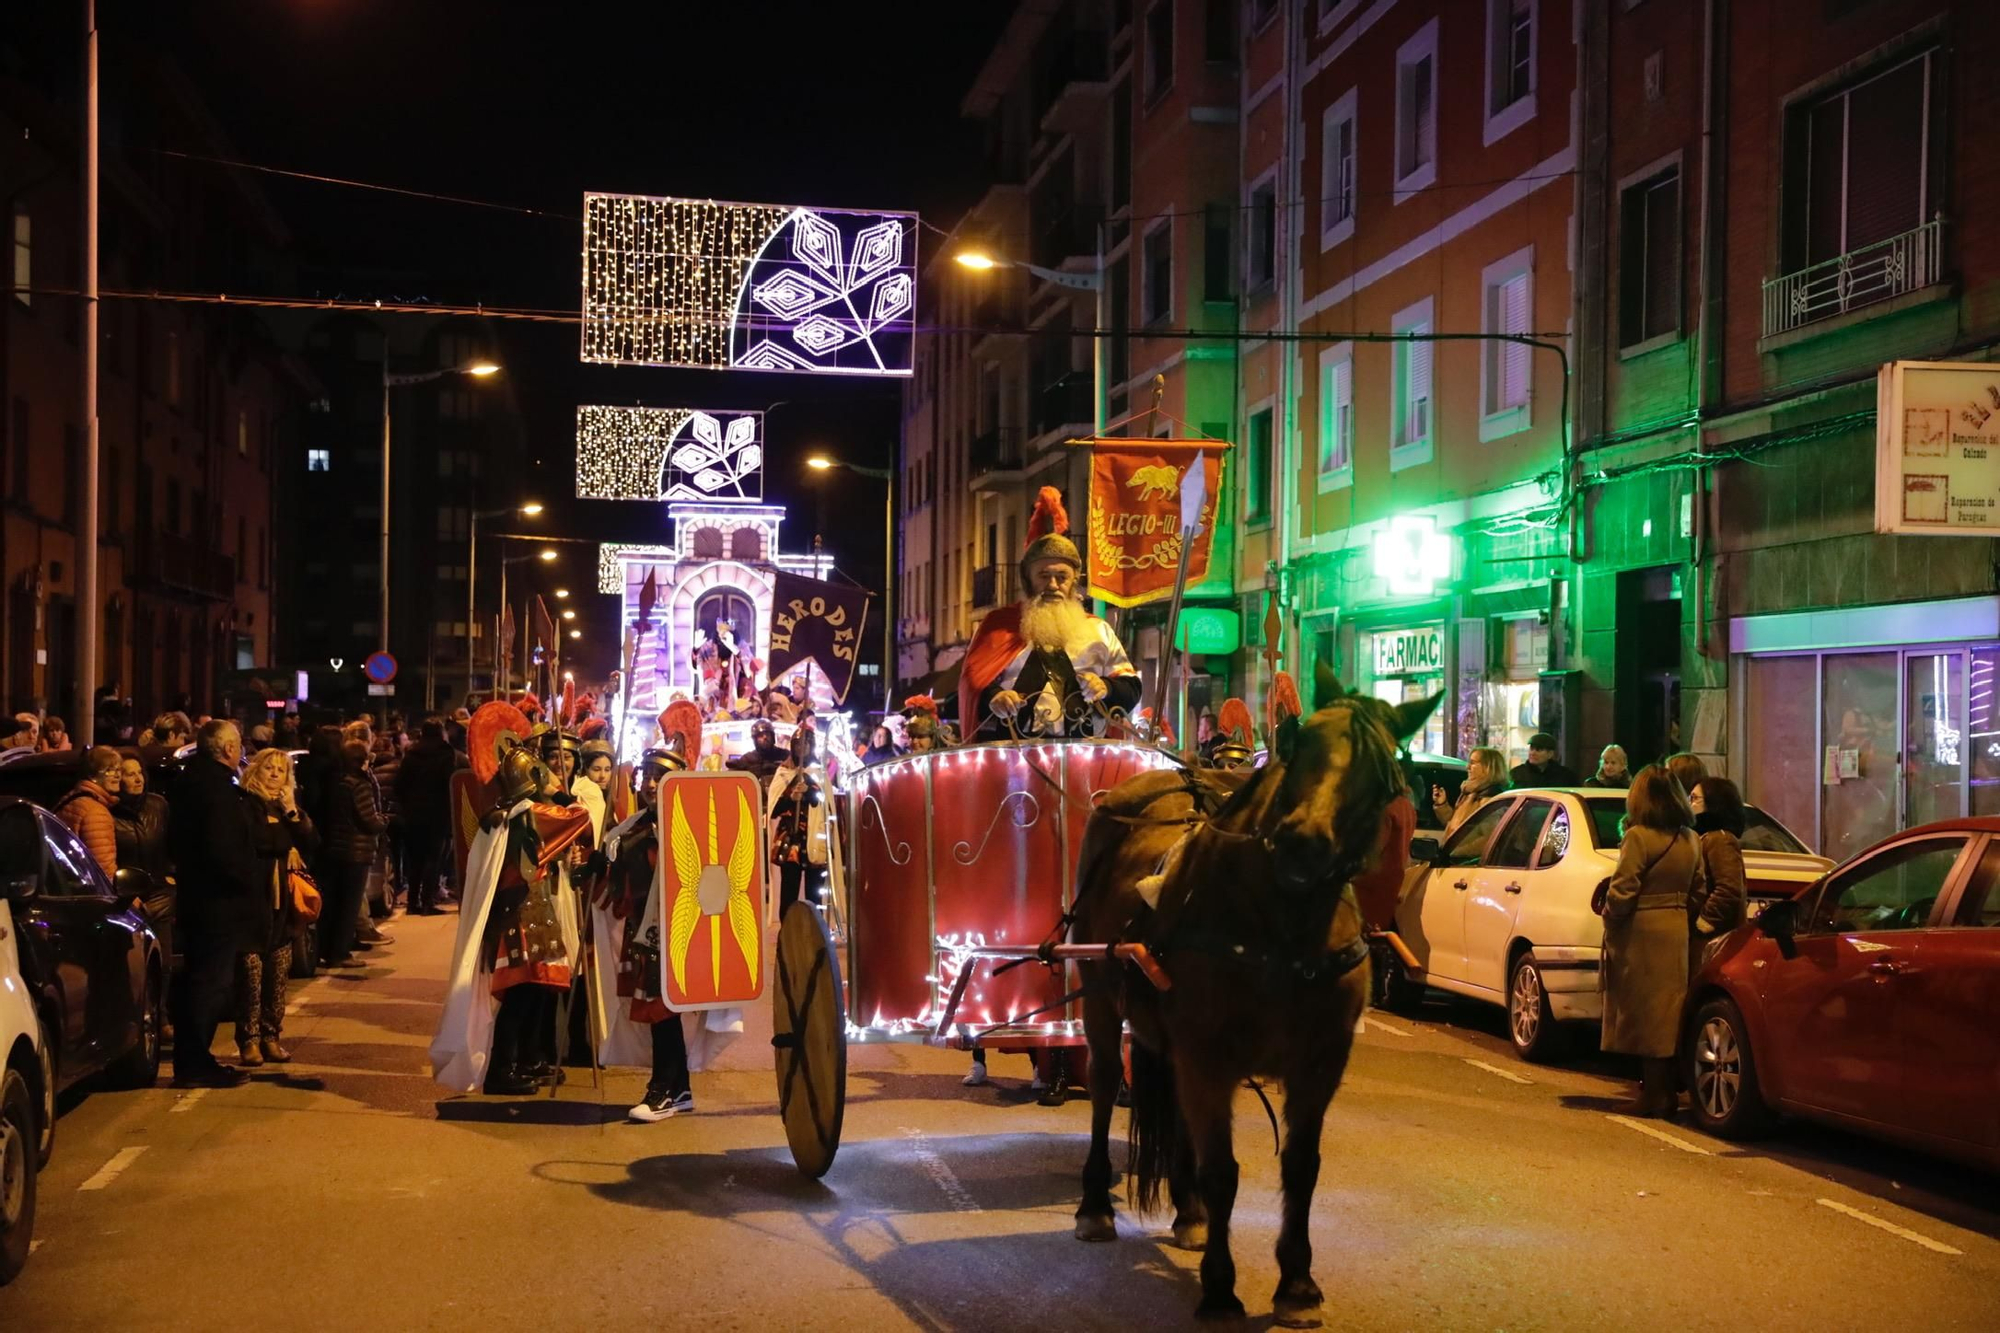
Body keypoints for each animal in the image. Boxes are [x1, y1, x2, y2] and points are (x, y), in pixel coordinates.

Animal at [1080, 664, 1440, 1320]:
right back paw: (1094, 1205)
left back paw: (1189, 1211)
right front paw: (1221, 1289)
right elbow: (1224, 1171)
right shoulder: (1208, 1057)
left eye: (1383, 777)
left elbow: (1301, 1168)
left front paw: (1296, 1281)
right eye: (1298, 746)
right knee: (1100, 1084)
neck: (1283, 930)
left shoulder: (1319, 1063)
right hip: (1098, 996)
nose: (1303, 841)